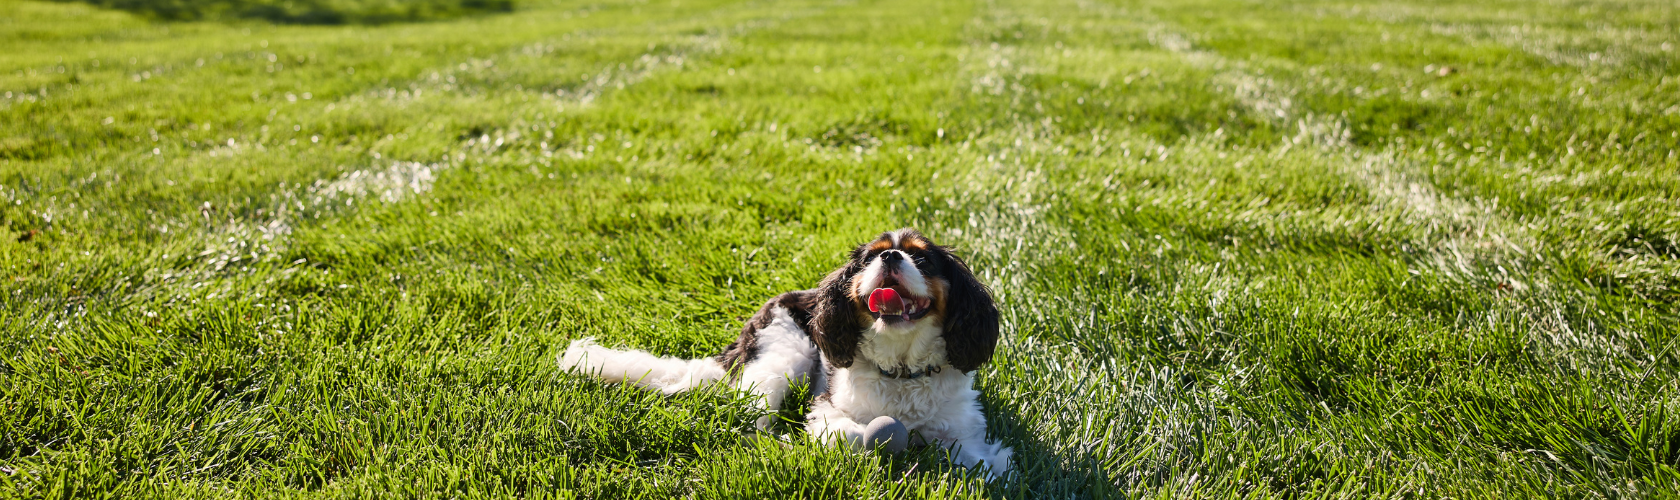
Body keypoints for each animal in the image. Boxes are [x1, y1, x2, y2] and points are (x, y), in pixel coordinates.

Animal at [561, 228, 1007, 479]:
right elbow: (850, 433)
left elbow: (985, 464)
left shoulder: (965, 429)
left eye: (922, 259)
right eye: (869, 258)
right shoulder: (828, 408)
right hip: (782, 355)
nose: (890, 256)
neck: (900, 365)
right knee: (750, 422)